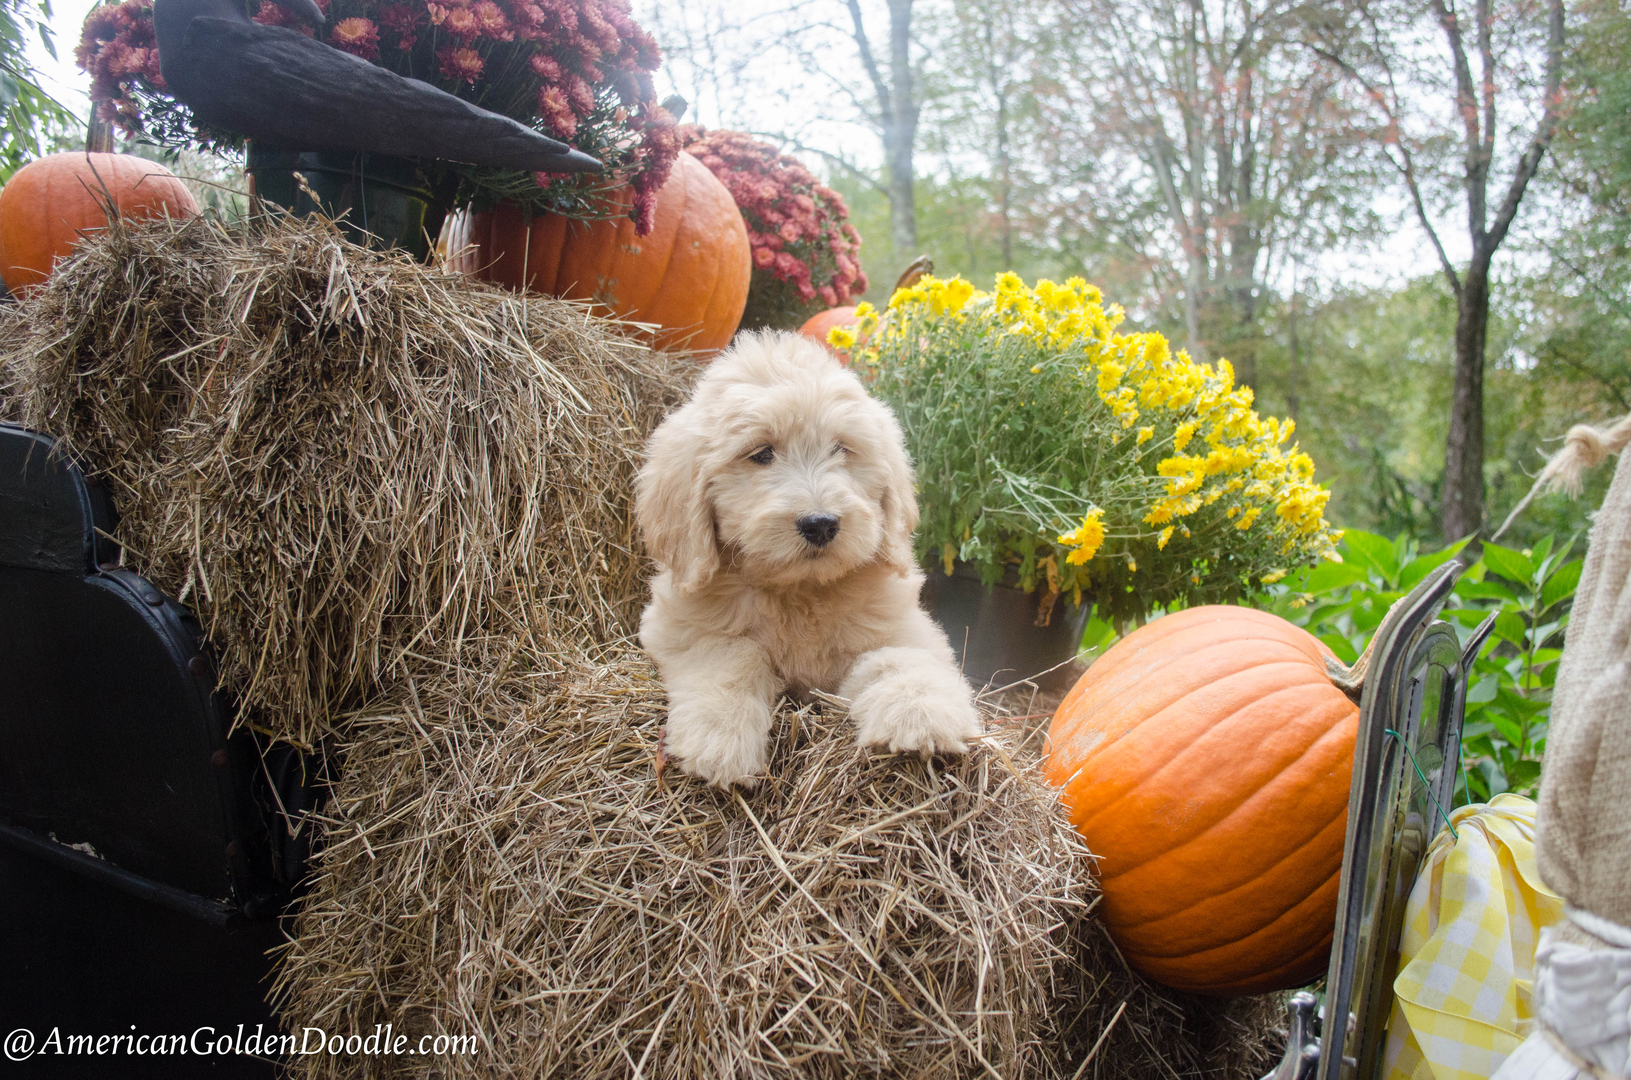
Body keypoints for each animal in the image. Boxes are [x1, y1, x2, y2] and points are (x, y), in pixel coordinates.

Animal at [636, 329, 978, 786]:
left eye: (842, 449)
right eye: (762, 453)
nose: (820, 524)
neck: (800, 592)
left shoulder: (902, 626)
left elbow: (899, 658)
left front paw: (921, 714)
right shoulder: (681, 627)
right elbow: (732, 657)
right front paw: (720, 739)